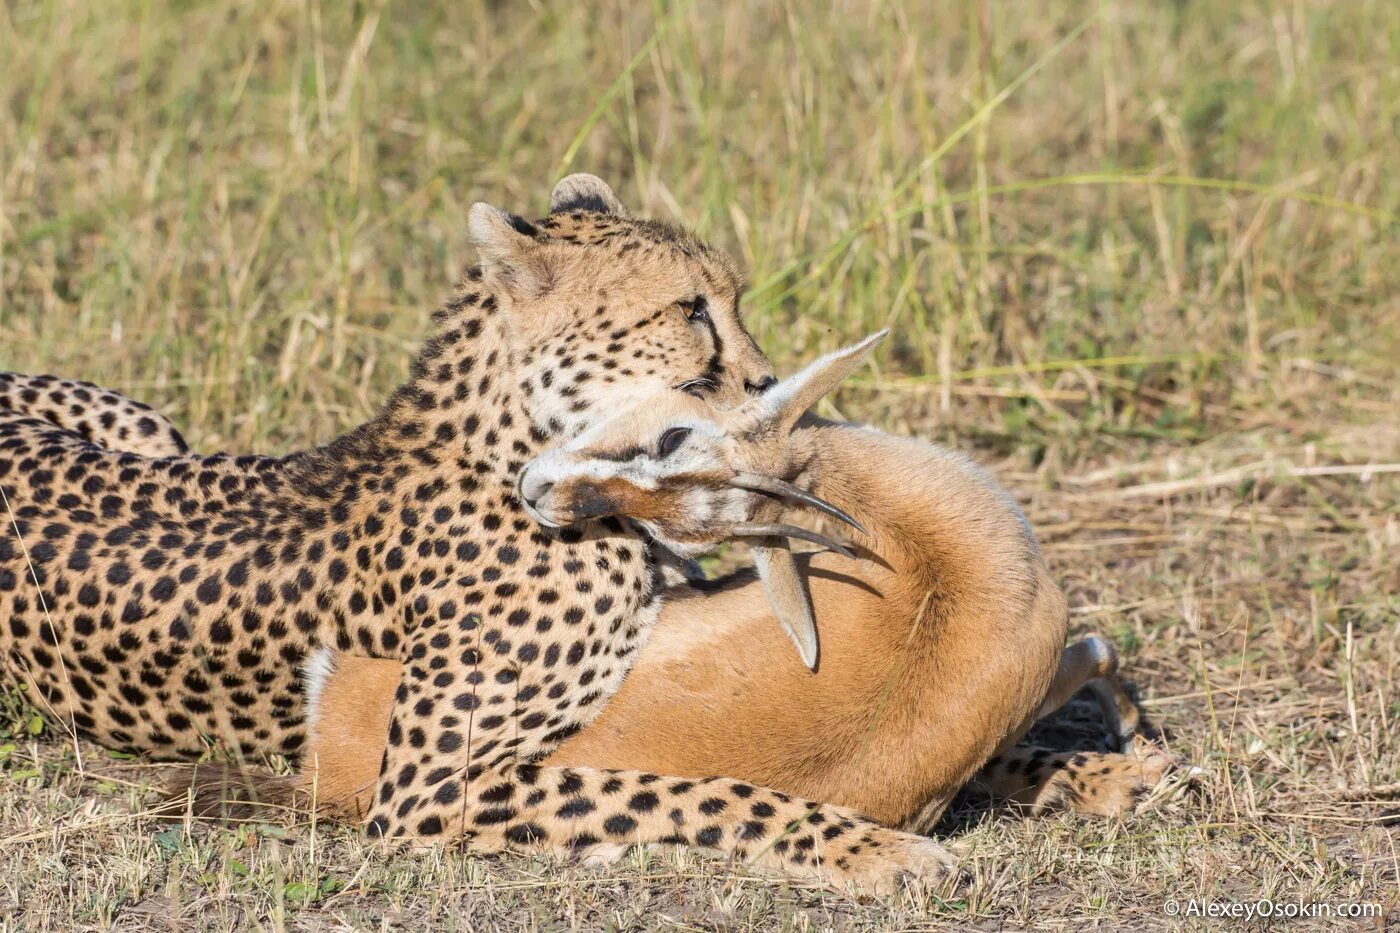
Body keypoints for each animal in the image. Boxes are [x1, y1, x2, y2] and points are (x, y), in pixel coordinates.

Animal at [0, 179, 952, 885]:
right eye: (691, 310)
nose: (762, 378)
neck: (522, 447)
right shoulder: (421, 790)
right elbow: (693, 789)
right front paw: (874, 845)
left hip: (153, 428)